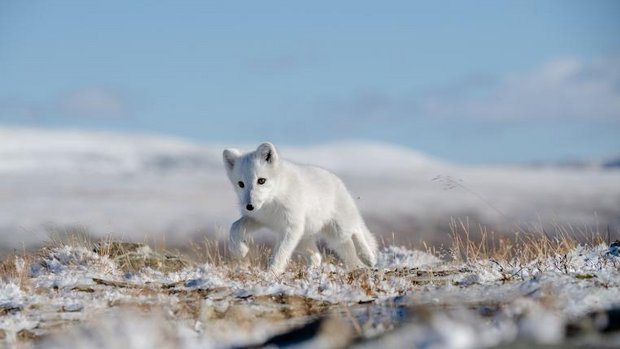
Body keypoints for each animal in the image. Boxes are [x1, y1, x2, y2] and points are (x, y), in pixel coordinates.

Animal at [223, 143, 378, 274]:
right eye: (241, 184)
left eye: (261, 180)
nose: (249, 206)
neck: (272, 200)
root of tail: (338, 181)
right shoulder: (258, 218)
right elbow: (234, 227)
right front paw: (240, 250)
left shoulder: (291, 227)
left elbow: (280, 253)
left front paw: (271, 273)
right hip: (304, 238)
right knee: (317, 256)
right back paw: (310, 273)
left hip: (338, 230)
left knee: (356, 229)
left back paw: (368, 258)